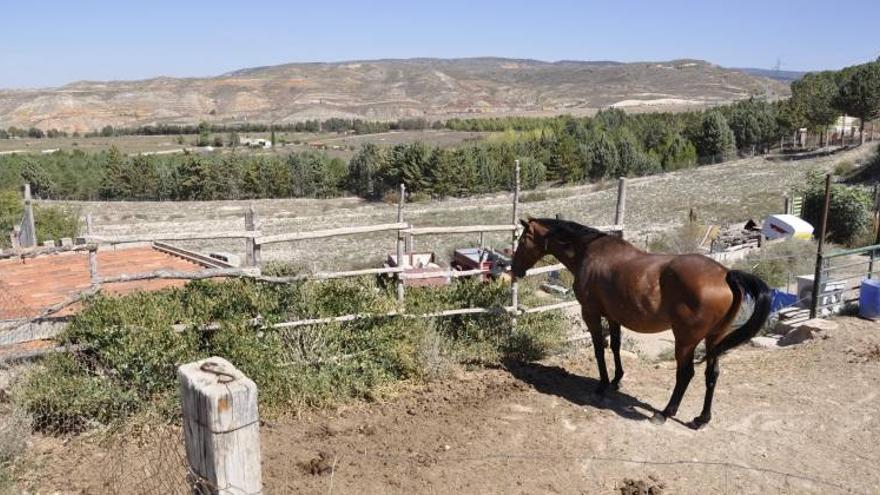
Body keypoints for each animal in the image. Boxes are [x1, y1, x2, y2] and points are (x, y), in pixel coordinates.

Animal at [508, 219, 768, 428]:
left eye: (522, 240)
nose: (514, 269)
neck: (588, 252)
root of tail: (726, 274)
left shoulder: (590, 313)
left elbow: (599, 349)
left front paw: (603, 385)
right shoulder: (613, 316)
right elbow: (615, 346)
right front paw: (617, 380)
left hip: (685, 341)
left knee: (686, 374)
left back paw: (664, 413)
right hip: (714, 339)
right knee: (711, 374)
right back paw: (701, 419)